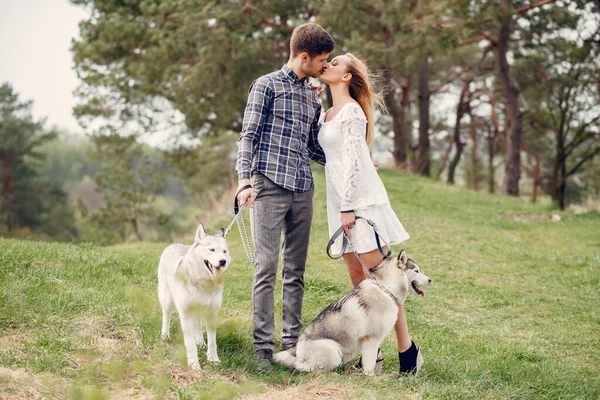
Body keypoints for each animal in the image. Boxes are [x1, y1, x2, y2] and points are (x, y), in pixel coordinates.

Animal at [157, 223, 232, 370]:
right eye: (212, 250)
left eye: (224, 252)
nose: (223, 261)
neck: (203, 283)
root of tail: (173, 244)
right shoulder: (185, 314)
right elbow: (190, 344)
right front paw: (193, 364)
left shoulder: (212, 314)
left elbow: (212, 341)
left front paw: (213, 359)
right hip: (167, 300)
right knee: (166, 316)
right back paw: (165, 336)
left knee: (198, 324)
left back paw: (200, 342)